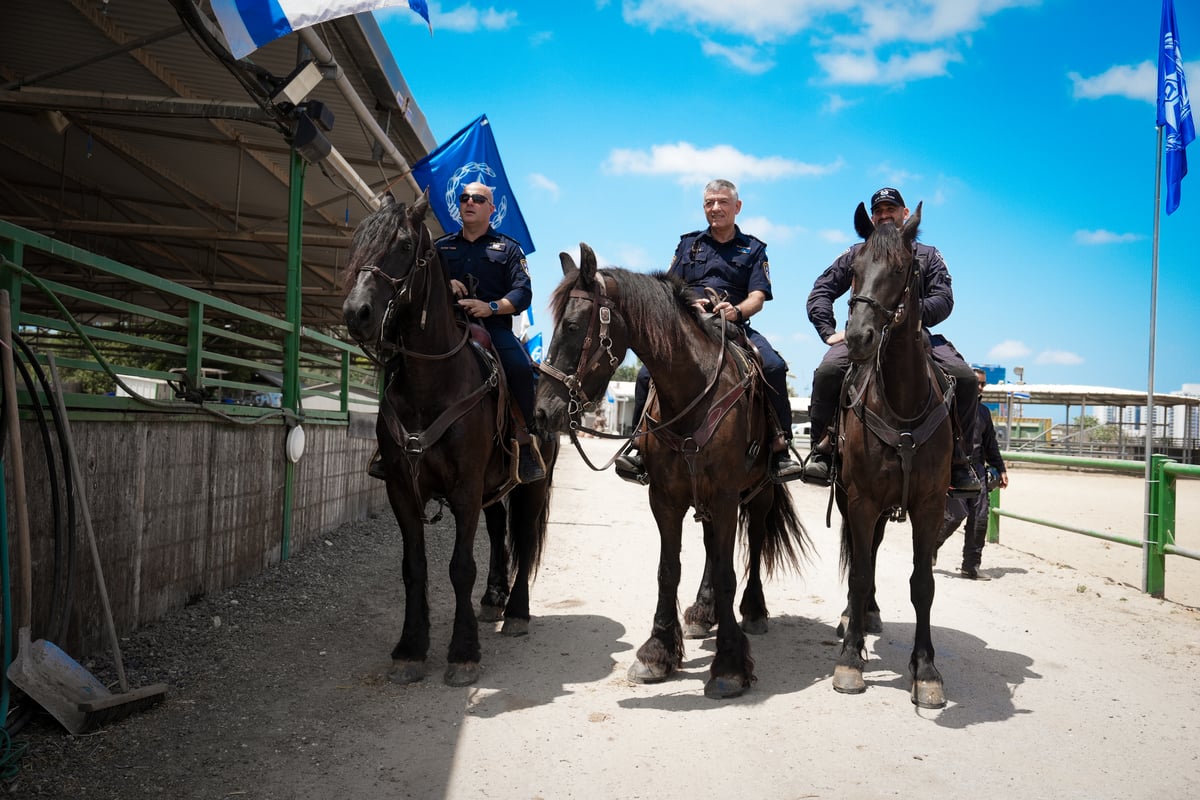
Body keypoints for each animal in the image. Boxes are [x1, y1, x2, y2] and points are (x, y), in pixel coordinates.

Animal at [343, 194, 556, 690]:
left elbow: (460, 567)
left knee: (521, 535)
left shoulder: (464, 488)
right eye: (358, 239)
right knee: (498, 532)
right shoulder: (402, 488)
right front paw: (410, 649)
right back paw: (495, 598)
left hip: (532, 485)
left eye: (404, 245)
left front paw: (463, 653)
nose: (356, 313)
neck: (431, 381)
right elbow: (414, 567)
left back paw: (517, 611)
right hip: (494, 488)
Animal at [535, 244, 806, 700]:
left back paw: (753, 610)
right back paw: (702, 611)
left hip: (760, 492)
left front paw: (729, 666)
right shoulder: (665, 497)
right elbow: (669, 570)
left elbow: (728, 571)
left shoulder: (725, 495)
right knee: (713, 551)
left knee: (751, 542)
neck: (693, 390)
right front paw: (658, 652)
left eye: (572, 326)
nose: (542, 411)